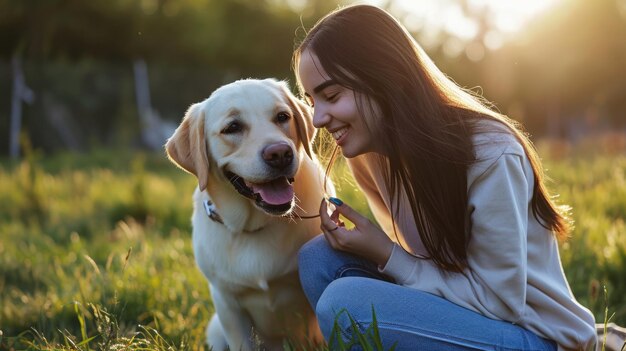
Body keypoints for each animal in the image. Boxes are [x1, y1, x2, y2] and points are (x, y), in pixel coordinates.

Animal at [166, 79, 330, 351]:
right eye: (232, 127)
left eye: (282, 116)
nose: (280, 154)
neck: (255, 225)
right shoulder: (226, 304)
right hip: (215, 329)